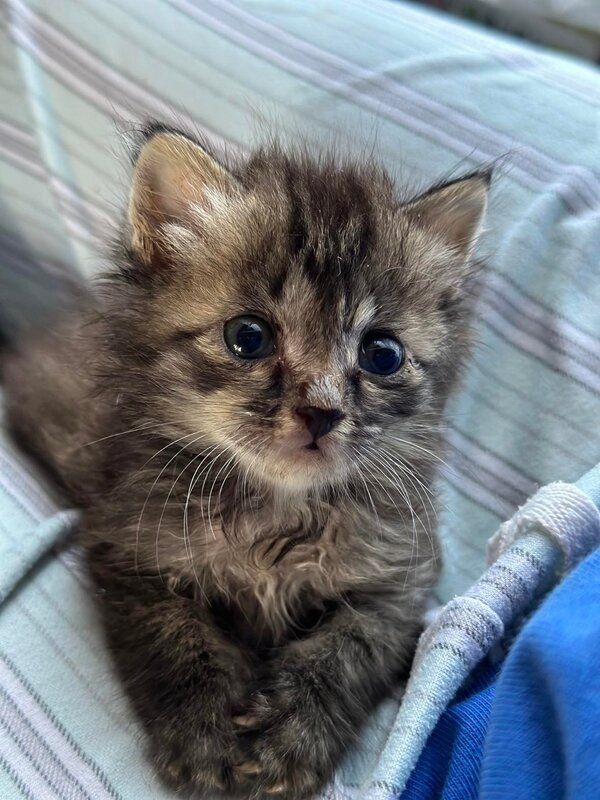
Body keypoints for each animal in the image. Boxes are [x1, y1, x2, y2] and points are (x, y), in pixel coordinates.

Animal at [4, 125, 490, 800]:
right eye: (248, 337)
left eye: (382, 354)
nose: (321, 411)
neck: (277, 519)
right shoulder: (128, 550)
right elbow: (178, 645)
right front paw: (204, 740)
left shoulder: (400, 579)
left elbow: (345, 653)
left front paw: (289, 742)